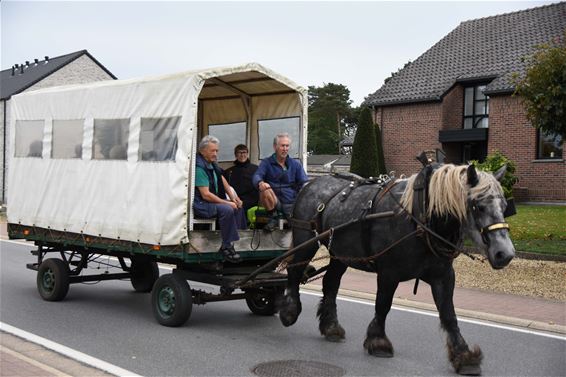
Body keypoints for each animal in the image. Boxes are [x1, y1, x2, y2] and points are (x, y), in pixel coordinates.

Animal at [280, 163, 520, 374]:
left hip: (340, 253)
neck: (419, 219)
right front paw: (378, 341)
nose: (505, 253)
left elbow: (449, 314)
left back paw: (330, 327)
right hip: (306, 240)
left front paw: (464, 356)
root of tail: (312, 182)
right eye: (478, 206)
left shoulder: (443, 276)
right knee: (294, 271)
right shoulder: (389, 273)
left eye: (505, 207)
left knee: (330, 283)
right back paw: (289, 311)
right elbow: (383, 305)